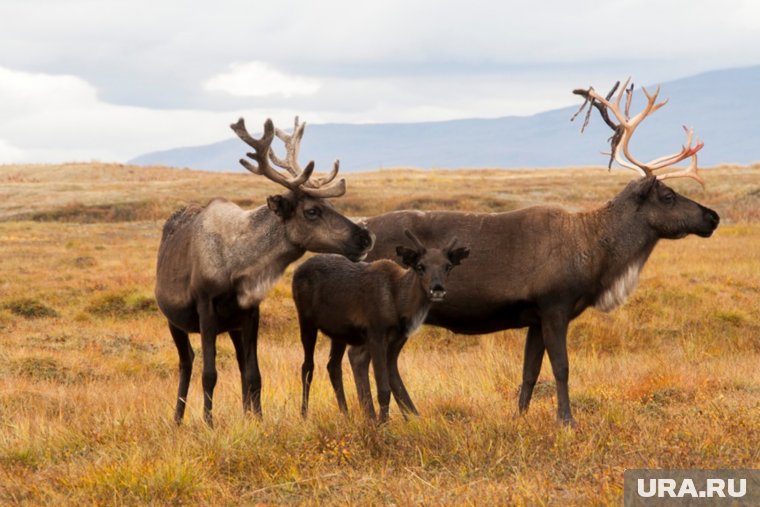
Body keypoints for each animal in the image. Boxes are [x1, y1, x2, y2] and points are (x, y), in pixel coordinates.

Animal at [292, 232, 466, 422]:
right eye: (420, 266)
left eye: (448, 266)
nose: (437, 289)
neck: (399, 304)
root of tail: (296, 271)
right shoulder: (375, 334)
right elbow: (383, 389)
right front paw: (383, 424)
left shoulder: (397, 340)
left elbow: (398, 386)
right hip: (306, 321)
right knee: (307, 366)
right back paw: (304, 415)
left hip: (339, 333)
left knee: (333, 366)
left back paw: (345, 414)